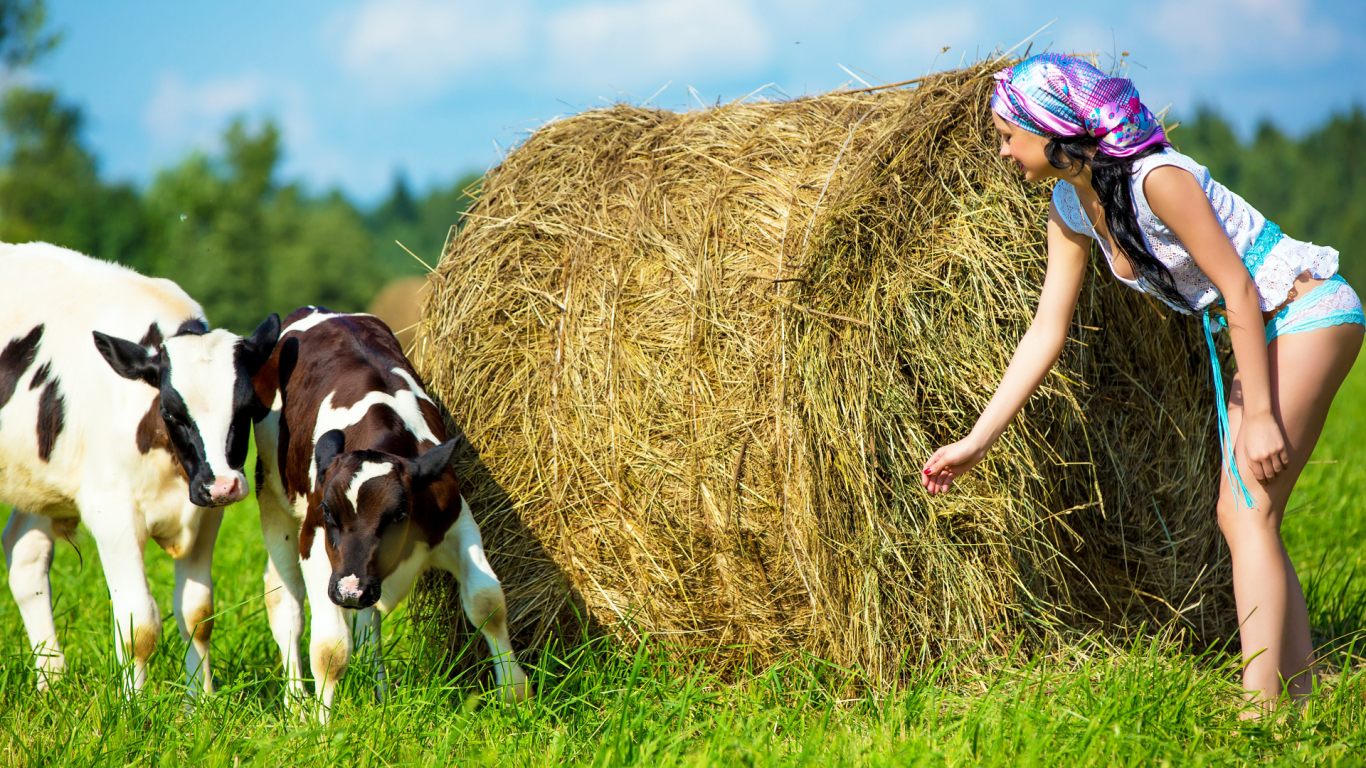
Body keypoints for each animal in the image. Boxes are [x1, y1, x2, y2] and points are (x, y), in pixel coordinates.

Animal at [0, 240, 277, 694]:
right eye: (170, 411)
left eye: (249, 407)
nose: (222, 485)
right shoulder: (111, 513)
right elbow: (139, 624)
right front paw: (133, 703)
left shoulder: (206, 513)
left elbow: (198, 614)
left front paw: (200, 699)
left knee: (25, 558)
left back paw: (52, 681)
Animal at [251, 306, 527, 716]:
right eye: (329, 513)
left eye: (398, 516)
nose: (349, 591)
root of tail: (318, 310)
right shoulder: (316, 545)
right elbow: (330, 649)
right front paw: (321, 722)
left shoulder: (457, 523)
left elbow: (486, 602)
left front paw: (514, 693)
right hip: (273, 502)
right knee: (285, 604)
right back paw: (296, 703)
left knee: (369, 625)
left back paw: (380, 697)